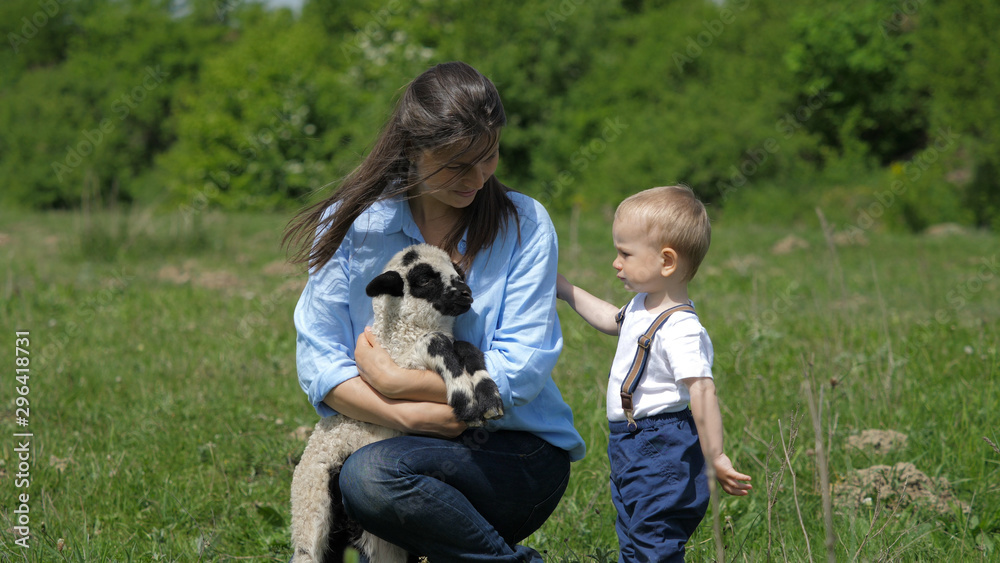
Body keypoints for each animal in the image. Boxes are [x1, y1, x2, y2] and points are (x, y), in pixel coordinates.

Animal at [290, 245, 508, 563]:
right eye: (424, 279)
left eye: (458, 271)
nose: (466, 294)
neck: (399, 336)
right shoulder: (403, 363)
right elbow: (436, 341)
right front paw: (465, 400)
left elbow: (467, 347)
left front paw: (488, 398)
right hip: (312, 517)